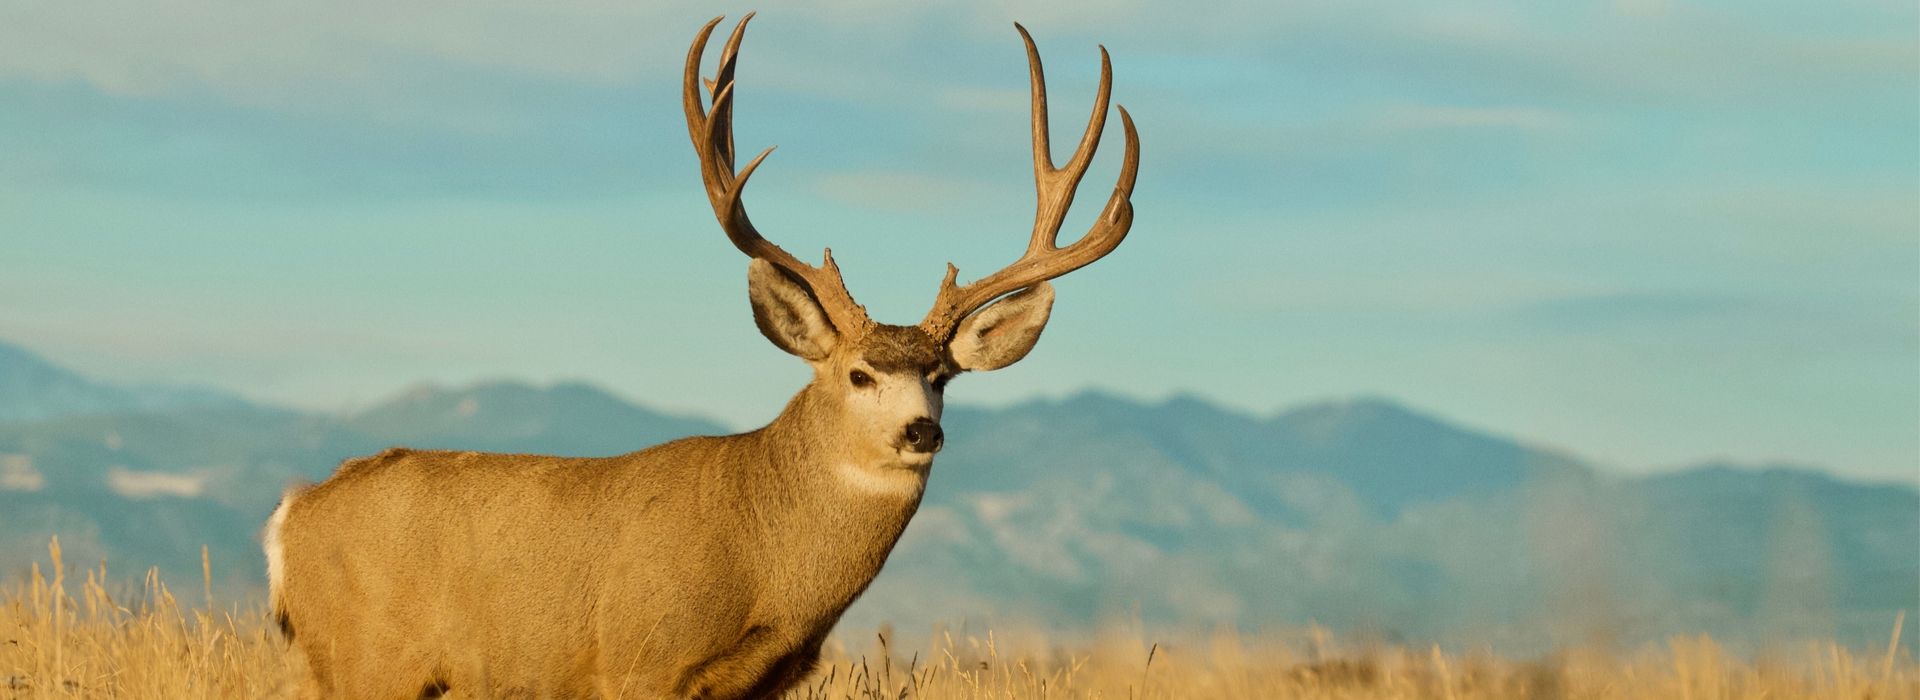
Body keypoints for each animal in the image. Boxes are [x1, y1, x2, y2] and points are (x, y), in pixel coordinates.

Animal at [264, 13, 1137, 700]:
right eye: (859, 373)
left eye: (942, 377)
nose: (922, 431)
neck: (762, 555)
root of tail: (289, 518)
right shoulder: (640, 660)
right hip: (368, 659)